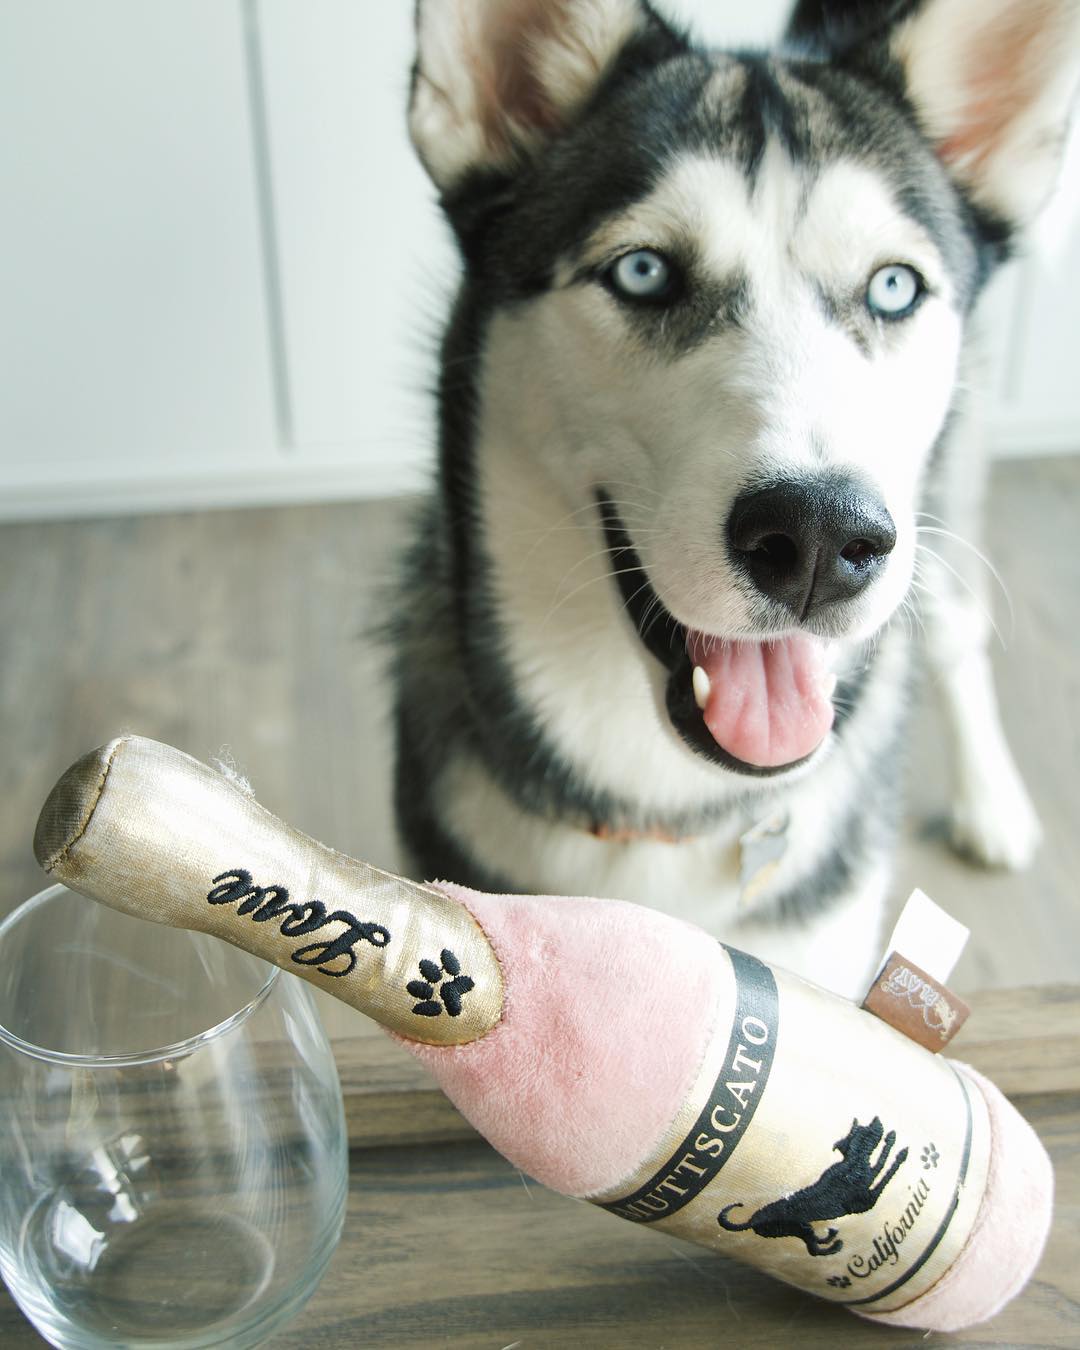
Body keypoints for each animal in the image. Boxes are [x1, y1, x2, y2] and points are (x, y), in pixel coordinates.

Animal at [391, 0, 1080, 993]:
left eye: (893, 286)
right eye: (642, 272)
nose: (822, 537)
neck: (666, 811)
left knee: (956, 633)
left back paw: (993, 803)